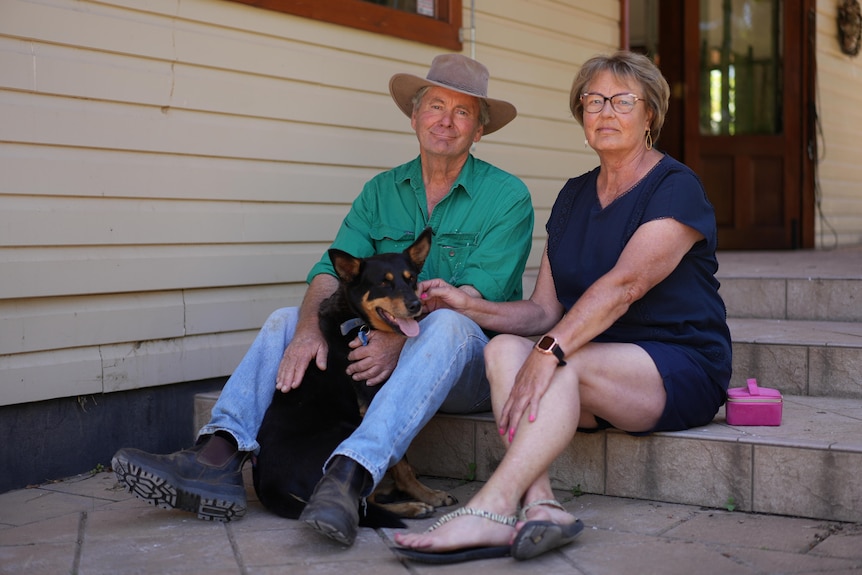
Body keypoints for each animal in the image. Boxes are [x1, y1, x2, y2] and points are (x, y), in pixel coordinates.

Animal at [255, 227, 460, 528]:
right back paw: (409, 506)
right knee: (362, 505)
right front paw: (426, 495)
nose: (416, 305)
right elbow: (402, 464)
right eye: (384, 283)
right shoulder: (375, 401)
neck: (356, 321)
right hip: (345, 430)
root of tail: (268, 487)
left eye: (411, 279)